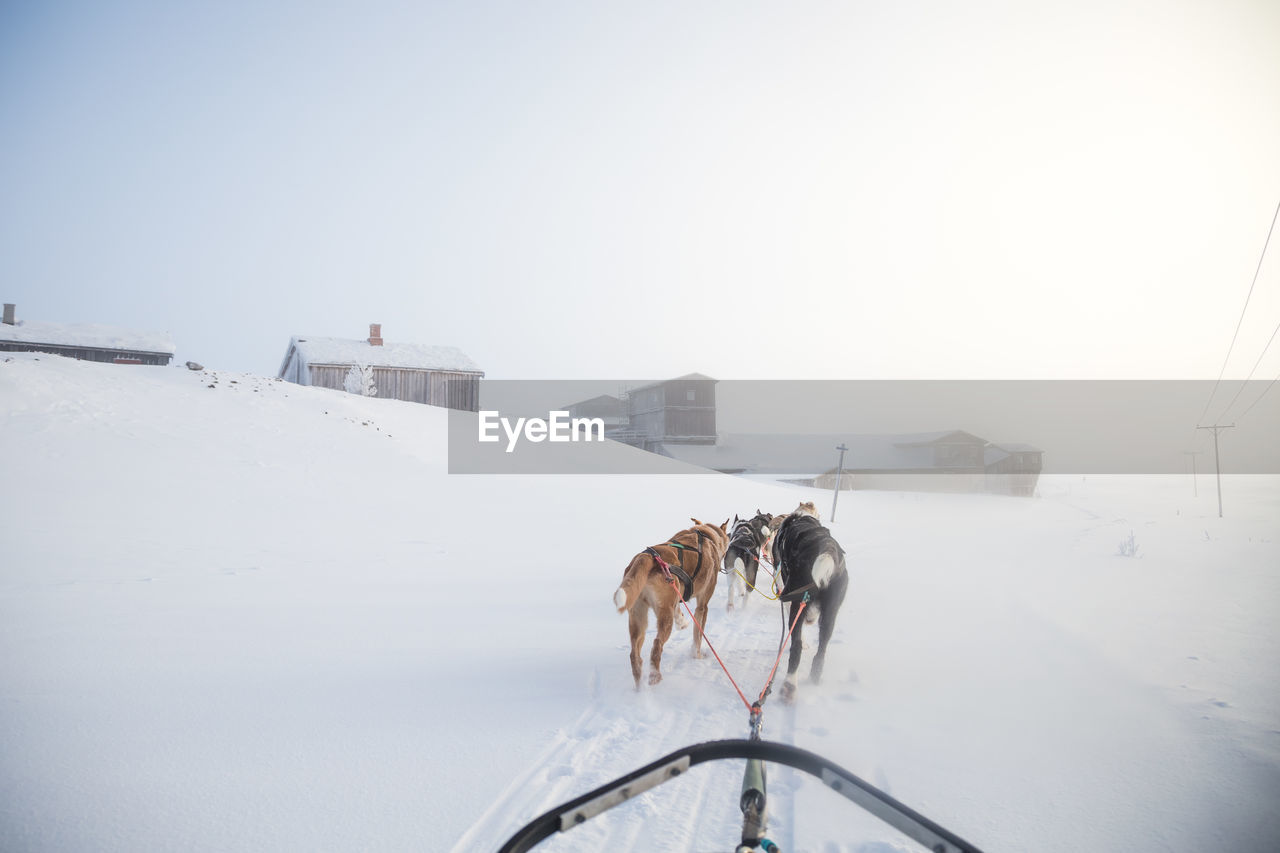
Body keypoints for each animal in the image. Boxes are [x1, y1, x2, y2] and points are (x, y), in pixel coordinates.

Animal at [611, 517, 727, 686]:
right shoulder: (702, 606)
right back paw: (655, 676)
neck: (705, 535)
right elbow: (697, 637)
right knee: (656, 645)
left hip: (637, 616)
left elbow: (679, 613)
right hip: (664, 617)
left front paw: (682, 622)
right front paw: (697, 656)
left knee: (634, 654)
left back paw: (639, 683)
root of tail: (648, 557)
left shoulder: (676, 598)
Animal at [768, 504, 849, 696]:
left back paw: (790, 684)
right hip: (830, 613)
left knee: (796, 646)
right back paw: (815, 676)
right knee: (822, 649)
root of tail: (827, 547)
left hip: (798, 602)